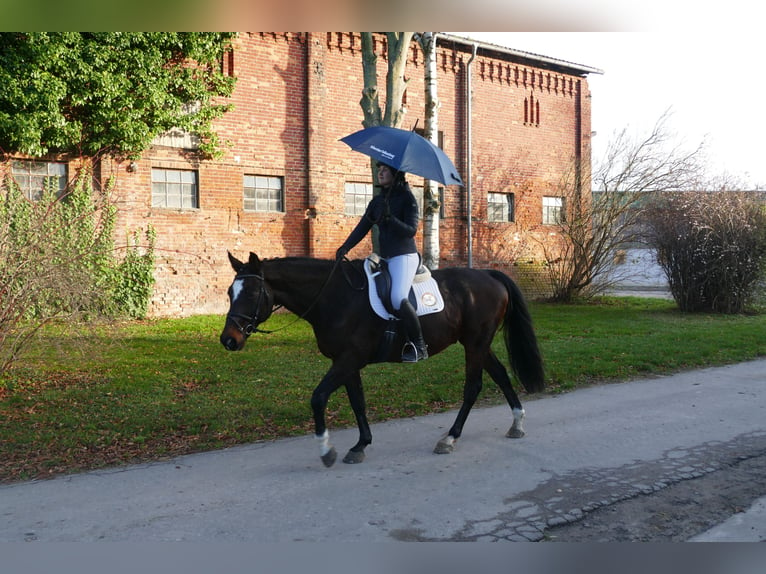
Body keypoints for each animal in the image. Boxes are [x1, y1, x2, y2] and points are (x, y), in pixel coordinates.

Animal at [222, 254, 544, 470]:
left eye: (252, 292)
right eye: (229, 292)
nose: (228, 340)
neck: (334, 298)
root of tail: (490, 275)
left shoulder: (348, 359)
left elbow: (318, 397)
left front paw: (326, 451)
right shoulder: (347, 363)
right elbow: (357, 402)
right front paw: (360, 445)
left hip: (476, 343)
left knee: (473, 387)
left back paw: (450, 439)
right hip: (476, 344)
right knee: (500, 375)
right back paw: (517, 424)